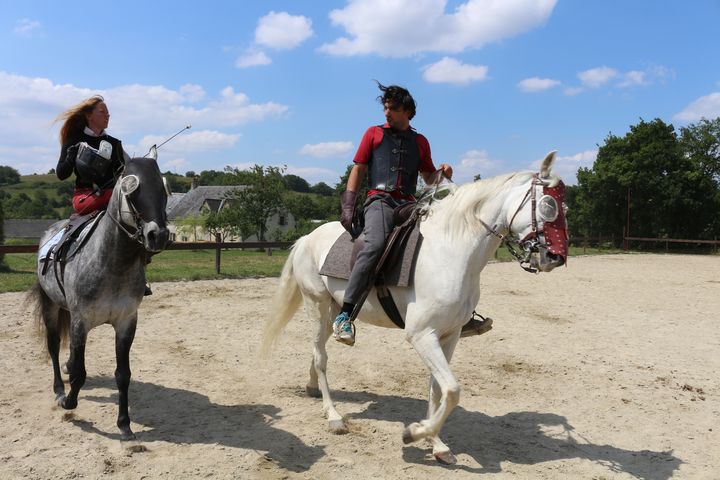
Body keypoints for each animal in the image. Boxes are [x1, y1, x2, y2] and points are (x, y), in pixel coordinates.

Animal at [29, 148, 170, 440]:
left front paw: (124, 424)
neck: (112, 262)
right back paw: (59, 388)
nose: (158, 235)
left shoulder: (126, 322)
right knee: (53, 346)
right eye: (131, 188)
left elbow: (123, 374)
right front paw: (68, 401)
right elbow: (80, 373)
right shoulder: (81, 321)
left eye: (163, 189)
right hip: (51, 306)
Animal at [260, 152, 568, 464]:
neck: (450, 251)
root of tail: (306, 239)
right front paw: (414, 433)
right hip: (317, 304)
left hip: (334, 309)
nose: (556, 258)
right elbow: (453, 390)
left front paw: (437, 444)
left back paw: (312, 388)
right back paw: (333, 415)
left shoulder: (449, 335)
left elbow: (438, 389)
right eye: (548, 205)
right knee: (321, 356)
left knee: (317, 348)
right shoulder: (421, 335)